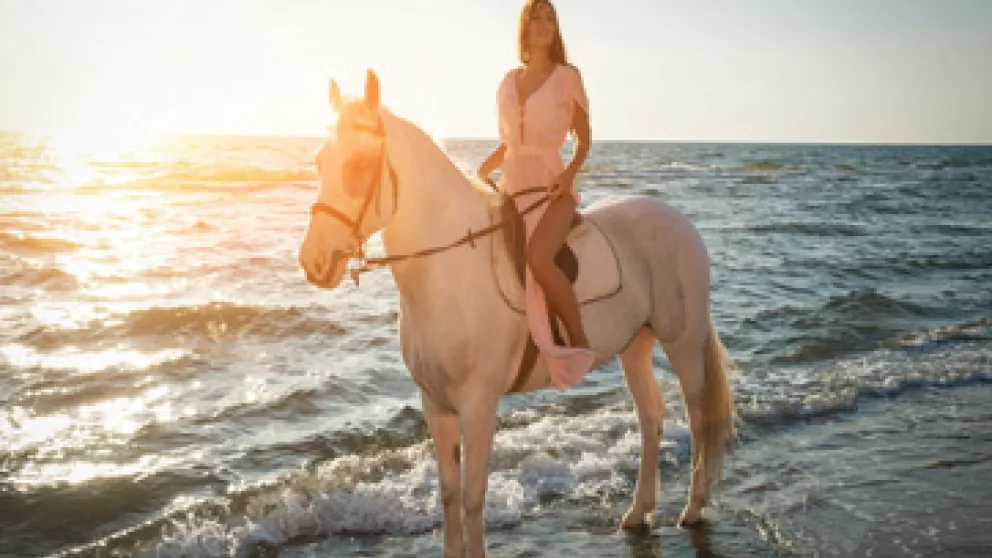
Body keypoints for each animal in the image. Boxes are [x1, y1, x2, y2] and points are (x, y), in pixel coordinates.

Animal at [298, 70, 735, 558]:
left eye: (358, 163)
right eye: (319, 161)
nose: (313, 261)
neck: (449, 271)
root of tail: (680, 221)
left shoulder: (479, 403)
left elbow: (473, 496)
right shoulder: (436, 404)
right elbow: (449, 494)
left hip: (683, 342)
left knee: (698, 417)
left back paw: (693, 509)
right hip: (635, 344)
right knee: (651, 417)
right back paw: (638, 513)